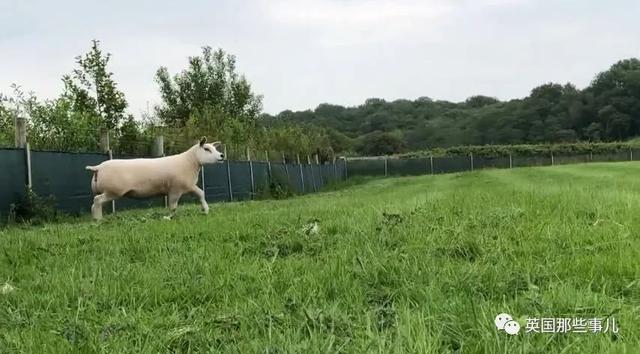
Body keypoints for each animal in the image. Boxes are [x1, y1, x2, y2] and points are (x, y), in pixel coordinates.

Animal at [85, 137, 225, 220]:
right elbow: (173, 206)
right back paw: (99, 220)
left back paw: (95, 219)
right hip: (113, 191)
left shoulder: (188, 186)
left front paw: (205, 210)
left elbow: (201, 193)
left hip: (105, 191)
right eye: (206, 149)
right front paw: (168, 218)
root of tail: (98, 168)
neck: (190, 162)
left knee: (94, 203)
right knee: (97, 200)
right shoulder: (175, 189)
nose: (222, 155)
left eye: (215, 148)